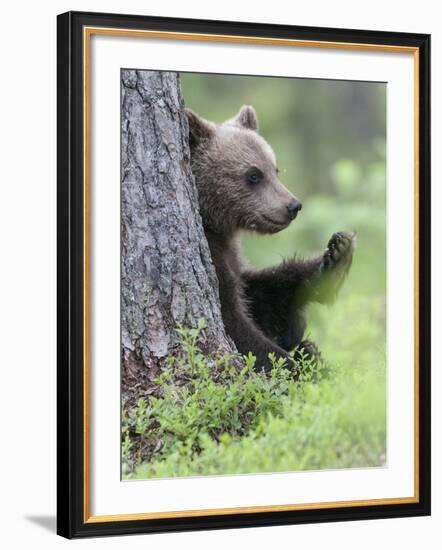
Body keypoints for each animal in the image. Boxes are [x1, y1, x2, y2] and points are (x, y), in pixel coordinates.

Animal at [186, 104, 356, 376]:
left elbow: (263, 293)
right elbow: (237, 325)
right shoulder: (212, 254)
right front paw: (296, 368)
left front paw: (336, 256)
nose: (293, 206)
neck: (214, 223)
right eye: (254, 175)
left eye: (275, 169)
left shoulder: (233, 256)